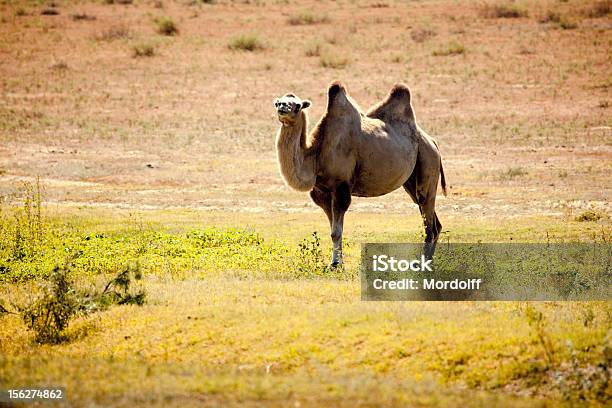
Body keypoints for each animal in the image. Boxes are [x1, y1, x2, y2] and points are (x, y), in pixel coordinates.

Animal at [274, 82, 448, 268]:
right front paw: (337, 262)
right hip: (411, 181)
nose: (282, 107)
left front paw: (336, 264)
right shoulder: (322, 192)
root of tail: (433, 143)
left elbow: (336, 231)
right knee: (433, 222)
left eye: (298, 105)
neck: (316, 157)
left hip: (428, 162)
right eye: (278, 102)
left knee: (428, 221)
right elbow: (333, 229)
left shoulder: (341, 187)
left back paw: (422, 265)